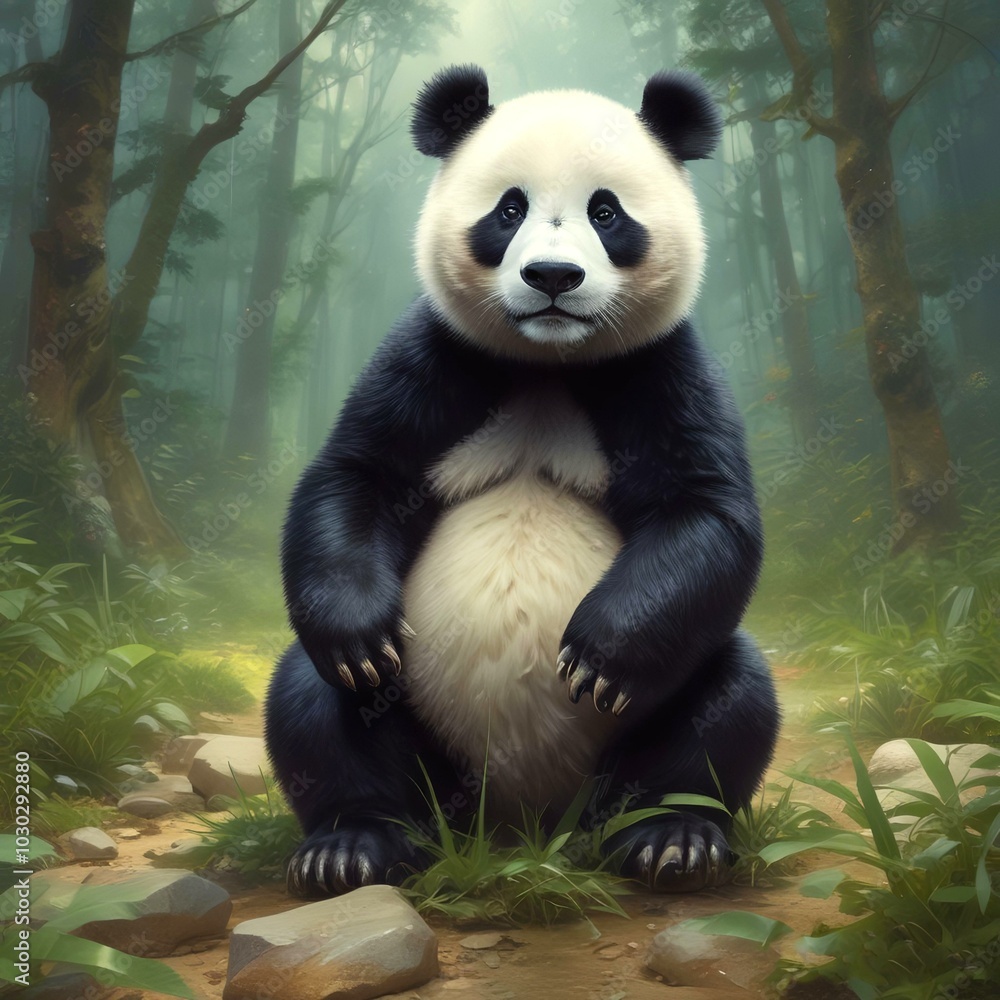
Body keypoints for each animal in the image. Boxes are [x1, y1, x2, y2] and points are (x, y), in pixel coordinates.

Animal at [265, 65, 780, 898]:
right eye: (509, 210)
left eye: (606, 212)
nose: (553, 277)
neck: (549, 361)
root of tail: (520, 826)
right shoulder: (437, 355)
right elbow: (357, 474)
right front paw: (359, 631)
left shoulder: (662, 366)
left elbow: (703, 508)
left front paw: (599, 658)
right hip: (426, 753)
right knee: (317, 695)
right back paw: (353, 845)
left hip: (631, 742)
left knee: (728, 694)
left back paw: (668, 839)